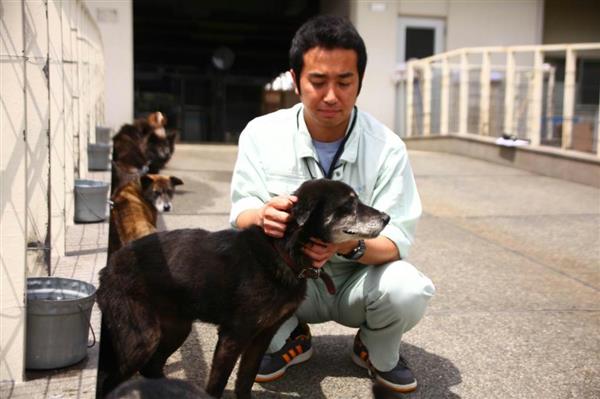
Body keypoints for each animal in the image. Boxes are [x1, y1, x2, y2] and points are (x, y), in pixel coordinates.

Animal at [96, 180, 392, 398]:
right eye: (348, 204)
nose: (388, 217)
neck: (283, 251)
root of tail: (108, 268)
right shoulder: (233, 336)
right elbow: (217, 385)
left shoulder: (262, 334)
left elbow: (245, 379)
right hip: (142, 337)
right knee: (110, 379)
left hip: (176, 328)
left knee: (152, 367)